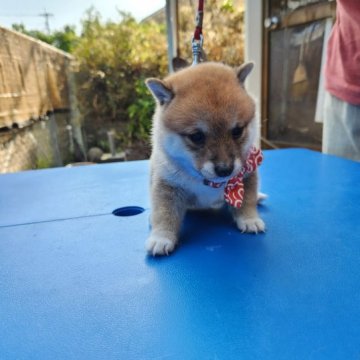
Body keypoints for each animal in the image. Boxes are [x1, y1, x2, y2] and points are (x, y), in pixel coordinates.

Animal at [146, 60, 264, 255]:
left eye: (237, 131)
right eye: (197, 136)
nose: (225, 169)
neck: (207, 182)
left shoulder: (247, 175)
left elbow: (247, 200)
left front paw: (249, 219)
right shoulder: (167, 186)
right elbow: (165, 213)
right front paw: (161, 237)